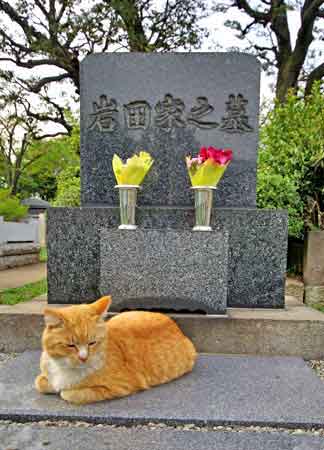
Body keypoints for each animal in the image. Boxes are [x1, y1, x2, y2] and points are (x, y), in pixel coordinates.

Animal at [35, 296, 197, 404]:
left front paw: (63, 390)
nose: (83, 357)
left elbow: (68, 394)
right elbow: (40, 383)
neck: (64, 367)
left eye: (92, 343)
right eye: (70, 345)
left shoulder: (120, 386)